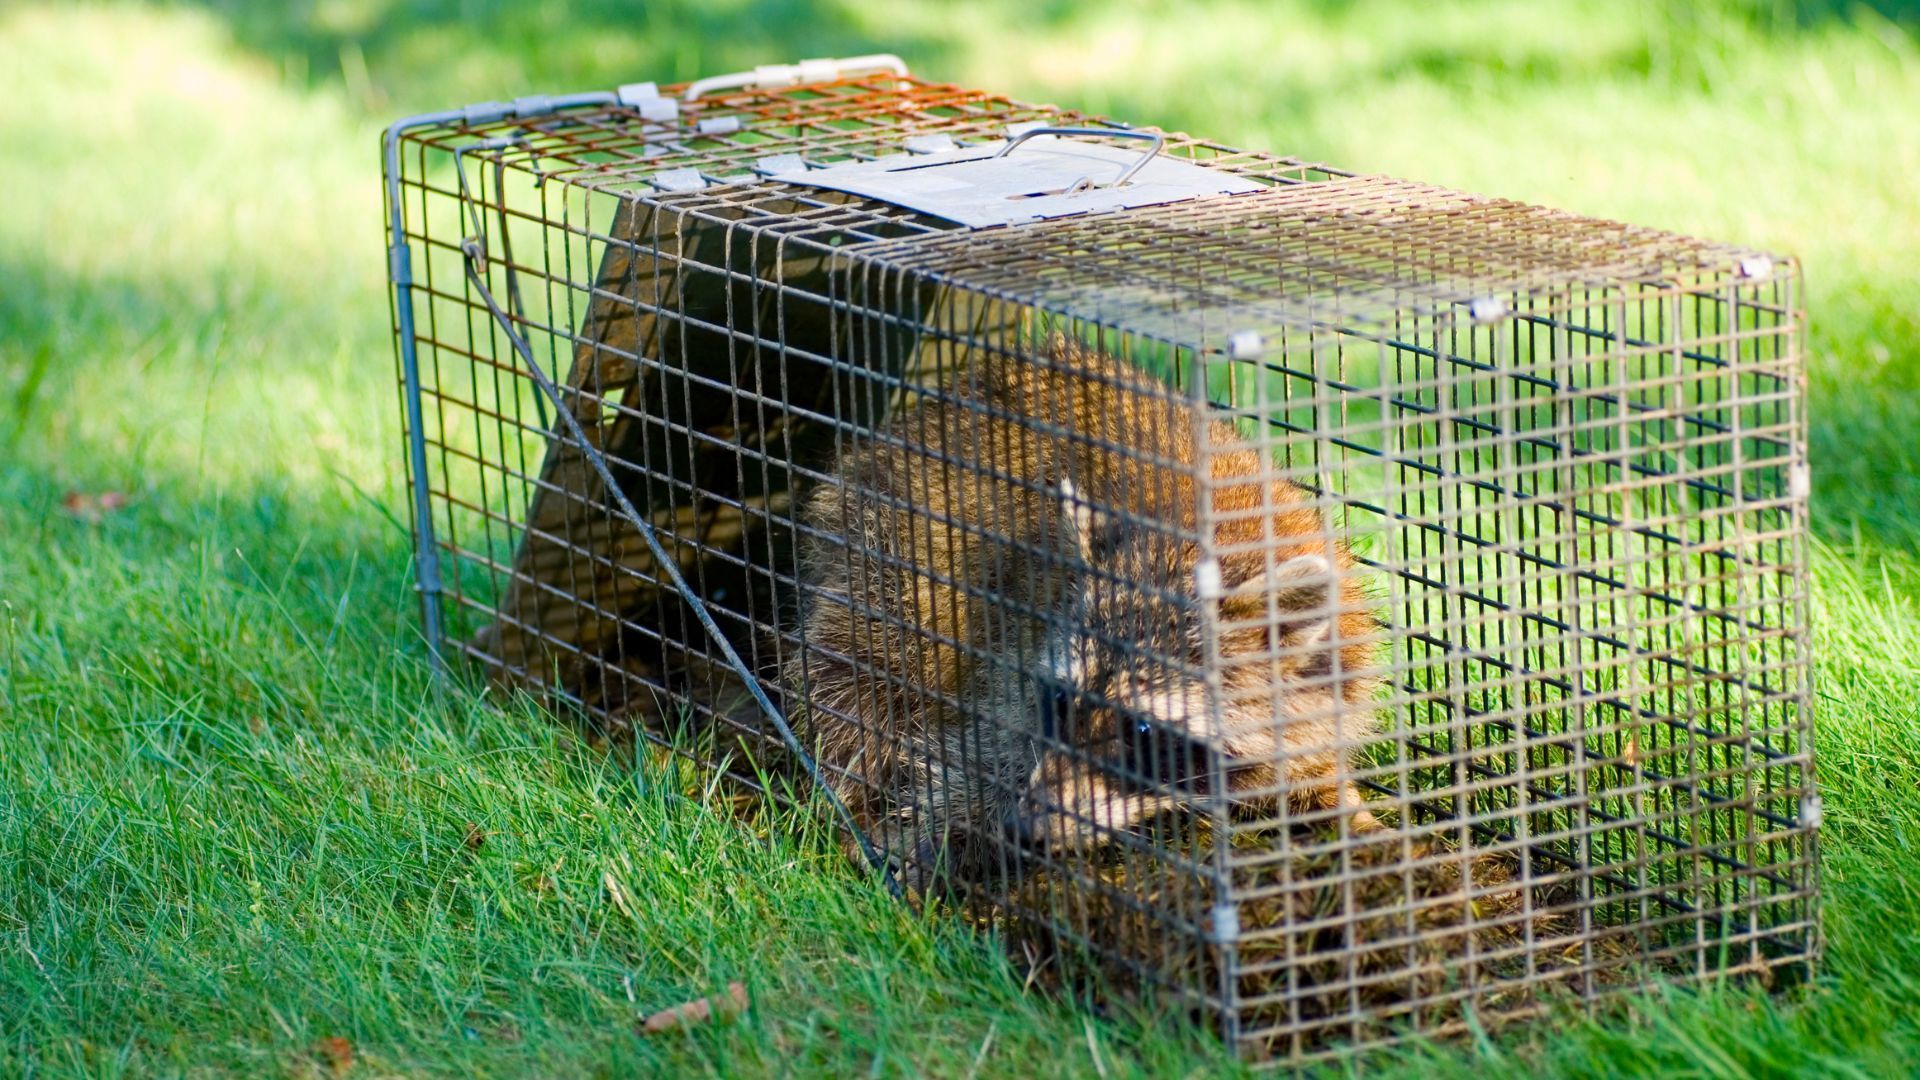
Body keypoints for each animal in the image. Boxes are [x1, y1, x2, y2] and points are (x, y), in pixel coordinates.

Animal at [788, 334, 1380, 887]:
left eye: (1141, 729)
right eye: (1059, 700)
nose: (1027, 825)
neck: (1210, 538)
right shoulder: (1014, 639)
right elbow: (982, 751)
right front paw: (959, 830)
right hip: (886, 556)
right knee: (861, 679)